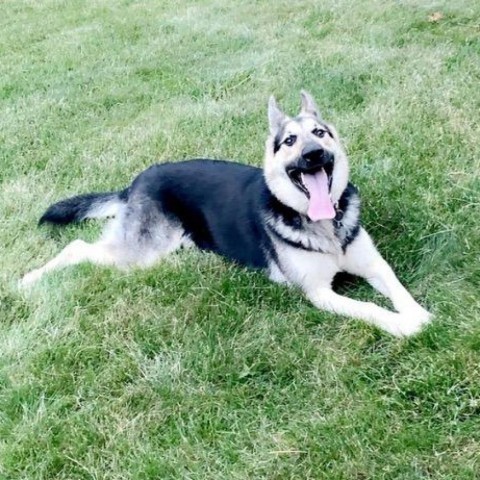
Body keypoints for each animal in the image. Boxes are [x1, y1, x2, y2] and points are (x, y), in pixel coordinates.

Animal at [20, 91, 432, 338]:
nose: (314, 154)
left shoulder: (374, 265)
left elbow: (396, 288)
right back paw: (29, 279)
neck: (325, 225)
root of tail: (135, 182)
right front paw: (404, 325)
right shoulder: (318, 293)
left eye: (320, 133)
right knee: (76, 247)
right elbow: (369, 307)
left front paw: (418, 313)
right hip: (141, 253)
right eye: (290, 141)